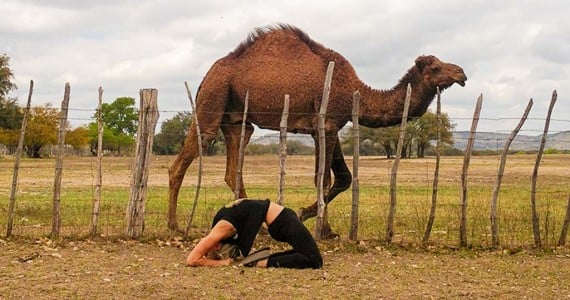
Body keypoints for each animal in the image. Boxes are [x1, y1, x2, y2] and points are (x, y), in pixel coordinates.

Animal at [165, 24, 466, 234]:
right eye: (436, 67)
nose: (461, 73)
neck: (354, 90)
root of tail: (209, 73)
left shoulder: (329, 127)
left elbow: (344, 178)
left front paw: (313, 220)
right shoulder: (326, 124)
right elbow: (325, 179)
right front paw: (321, 227)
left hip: (237, 121)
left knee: (232, 170)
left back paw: (256, 226)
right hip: (213, 100)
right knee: (182, 161)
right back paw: (174, 225)